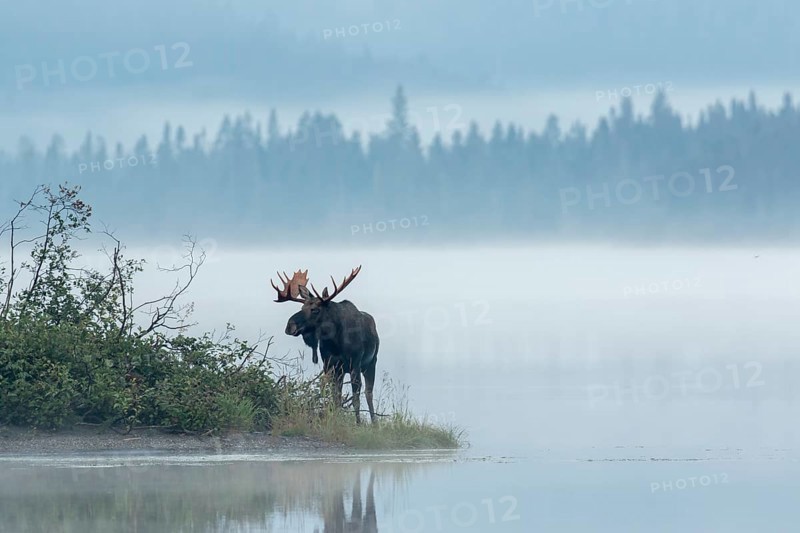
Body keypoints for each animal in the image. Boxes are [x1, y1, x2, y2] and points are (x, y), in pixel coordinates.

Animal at [271, 266, 379, 424]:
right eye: (302, 307)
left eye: (315, 309)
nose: (290, 326)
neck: (335, 341)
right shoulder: (330, 366)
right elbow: (335, 399)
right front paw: (336, 420)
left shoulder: (355, 364)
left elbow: (356, 399)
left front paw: (358, 424)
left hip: (371, 362)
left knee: (368, 393)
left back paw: (375, 422)